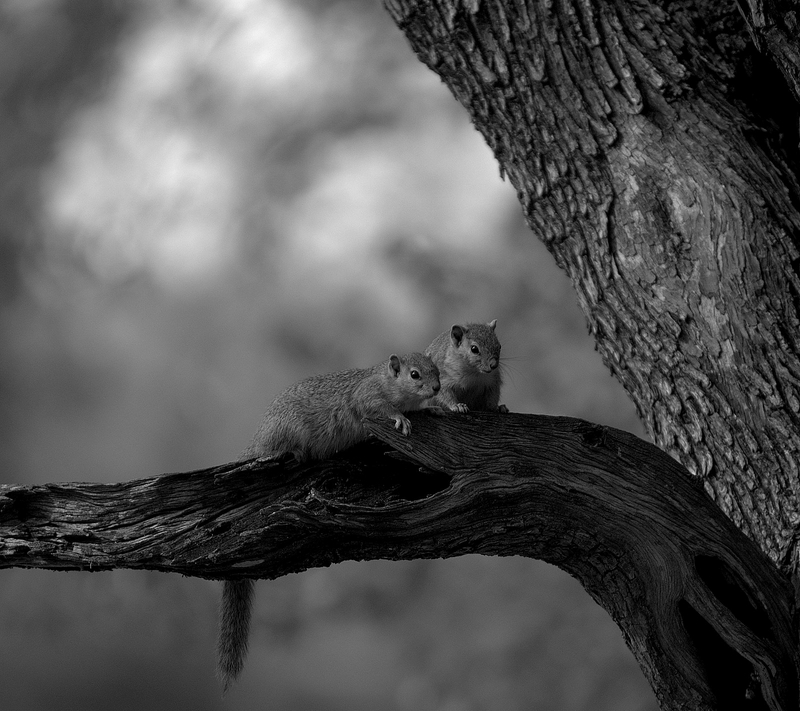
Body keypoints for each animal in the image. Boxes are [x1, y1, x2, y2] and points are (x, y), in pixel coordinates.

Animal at [218, 352, 441, 691]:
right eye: (415, 375)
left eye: (437, 370)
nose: (438, 388)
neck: (384, 380)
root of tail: (258, 440)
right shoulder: (366, 397)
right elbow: (379, 409)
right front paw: (399, 417)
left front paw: (434, 407)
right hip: (286, 433)